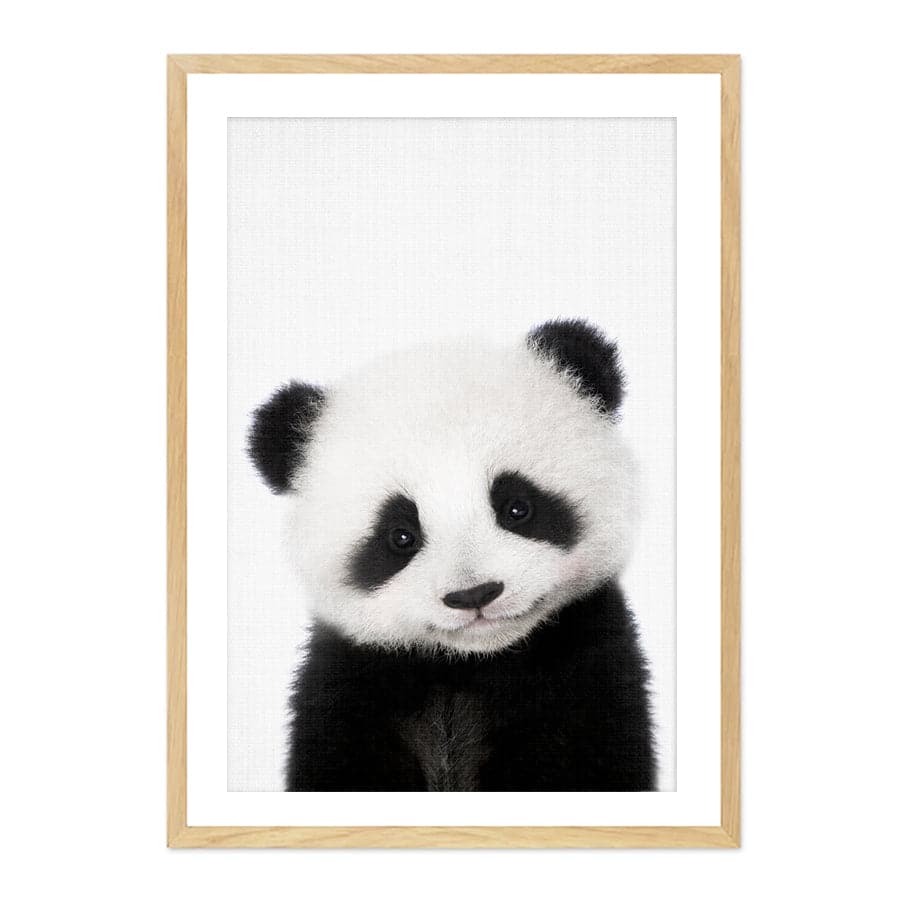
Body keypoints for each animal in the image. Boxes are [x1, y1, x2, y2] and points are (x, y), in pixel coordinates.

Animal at [248, 318, 656, 791]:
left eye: (517, 507)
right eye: (400, 536)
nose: (474, 594)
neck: (468, 665)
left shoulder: (587, 672)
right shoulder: (348, 687)